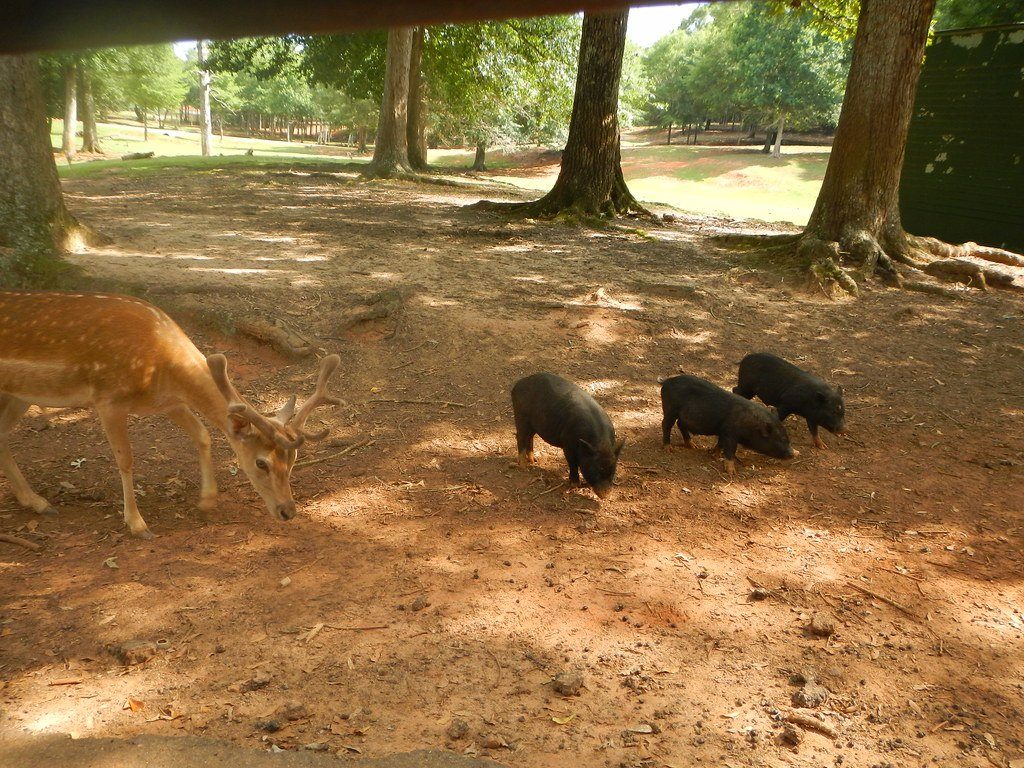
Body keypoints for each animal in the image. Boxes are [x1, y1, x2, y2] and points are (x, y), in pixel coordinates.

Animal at [0, 290, 341, 539]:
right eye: (261, 463)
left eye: (293, 461)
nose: (288, 511)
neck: (160, 366)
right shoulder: (108, 399)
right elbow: (126, 459)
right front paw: (137, 524)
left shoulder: (169, 403)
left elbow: (202, 434)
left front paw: (207, 501)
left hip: (19, 394)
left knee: (2, 434)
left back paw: (36, 502)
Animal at [660, 374, 794, 474]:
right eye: (780, 440)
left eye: (788, 438)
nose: (793, 453)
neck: (750, 424)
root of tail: (666, 381)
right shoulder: (730, 433)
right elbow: (730, 450)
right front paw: (731, 473)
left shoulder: (723, 432)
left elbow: (720, 444)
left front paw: (714, 455)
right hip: (670, 408)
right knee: (666, 424)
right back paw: (668, 449)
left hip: (683, 416)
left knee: (680, 424)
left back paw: (694, 446)